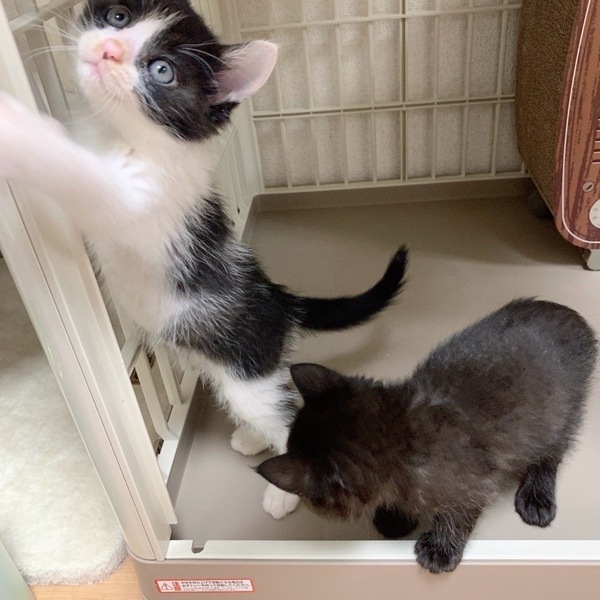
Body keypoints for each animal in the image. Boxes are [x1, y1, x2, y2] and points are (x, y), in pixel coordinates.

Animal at [0, 1, 407, 519]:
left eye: (162, 71)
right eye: (117, 16)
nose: (109, 49)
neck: (118, 133)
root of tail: (282, 301)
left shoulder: (143, 200)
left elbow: (82, 179)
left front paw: (18, 131)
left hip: (243, 367)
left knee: (283, 412)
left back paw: (282, 490)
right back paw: (252, 440)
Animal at [258, 298, 598, 571]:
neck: (398, 430)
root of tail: (571, 315)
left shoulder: (473, 482)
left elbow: (458, 514)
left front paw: (440, 549)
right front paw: (396, 517)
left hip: (558, 413)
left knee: (552, 453)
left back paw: (537, 497)